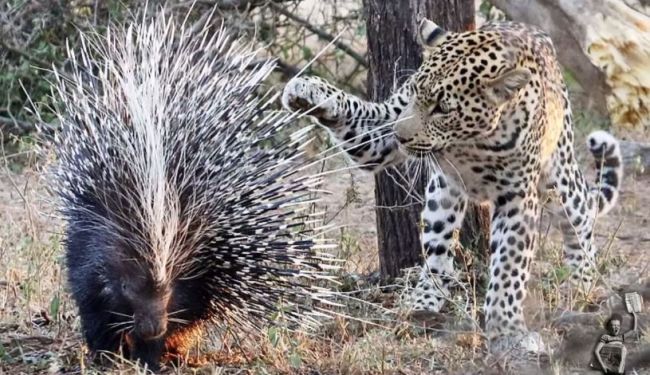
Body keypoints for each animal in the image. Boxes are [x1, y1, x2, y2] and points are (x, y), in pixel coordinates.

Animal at [280, 19, 624, 356]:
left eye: (443, 109)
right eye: (414, 93)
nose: (400, 136)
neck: (471, 142)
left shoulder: (517, 197)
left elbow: (509, 268)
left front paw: (508, 332)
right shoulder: (384, 131)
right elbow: (361, 117)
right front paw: (307, 90)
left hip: (559, 175)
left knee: (580, 215)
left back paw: (583, 284)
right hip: (441, 196)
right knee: (439, 258)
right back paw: (422, 304)